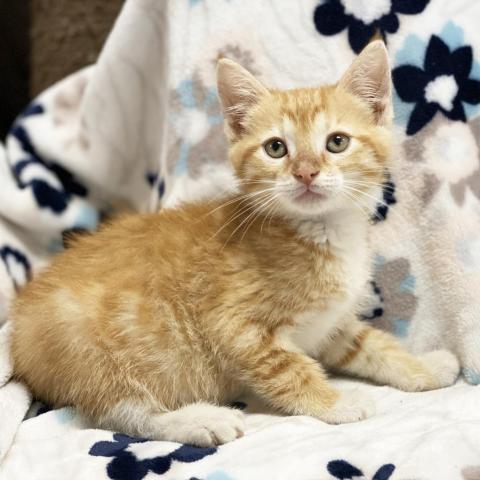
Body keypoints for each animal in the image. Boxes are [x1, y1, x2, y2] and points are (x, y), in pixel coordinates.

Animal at [10, 41, 458, 446]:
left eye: (337, 142)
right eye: (276, 148)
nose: (306, 173)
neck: (322, 232)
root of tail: (19, 325)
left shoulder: (330, 323)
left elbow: (370, 344)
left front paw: (421, 366)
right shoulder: (235, 325)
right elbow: (290, 369)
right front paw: (337, 402)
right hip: (95, 351)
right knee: (122, 412)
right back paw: (199, 421)